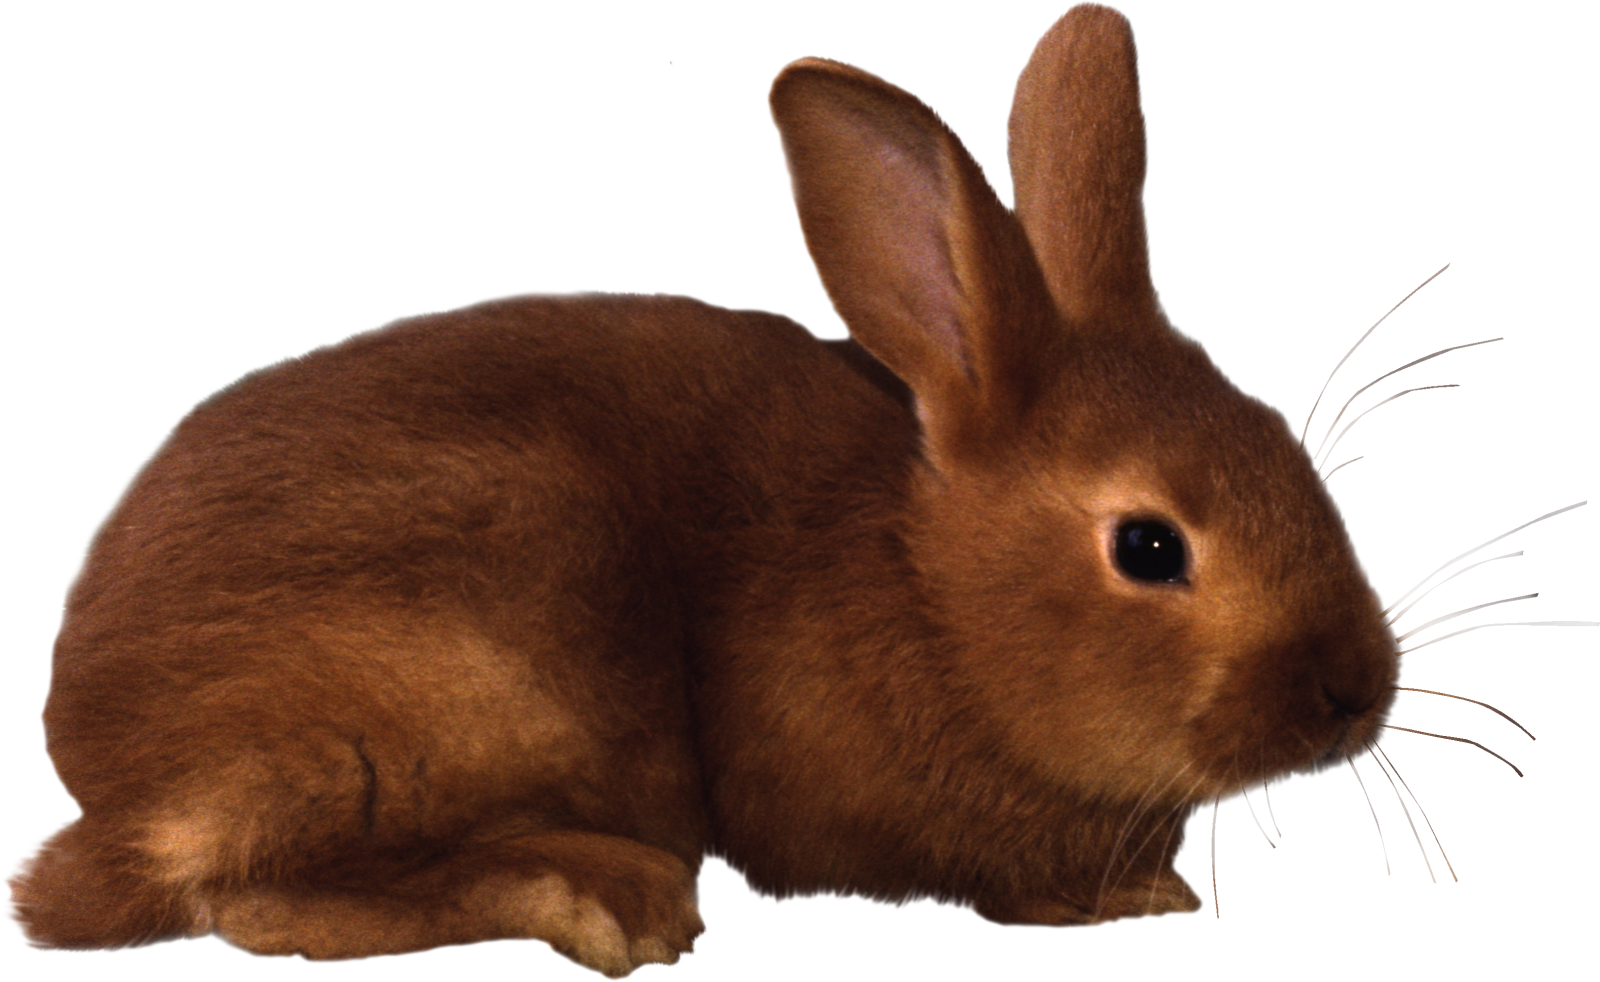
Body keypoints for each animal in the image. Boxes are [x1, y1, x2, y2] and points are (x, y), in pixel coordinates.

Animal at [4, 2, 1575, 975]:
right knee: (247, 896)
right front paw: (1121, 897)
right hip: (472, 661)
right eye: (1146, 545)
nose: (1356, 692)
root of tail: (106, 757)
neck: (927, 580)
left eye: (1288, 455)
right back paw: (604, 895)